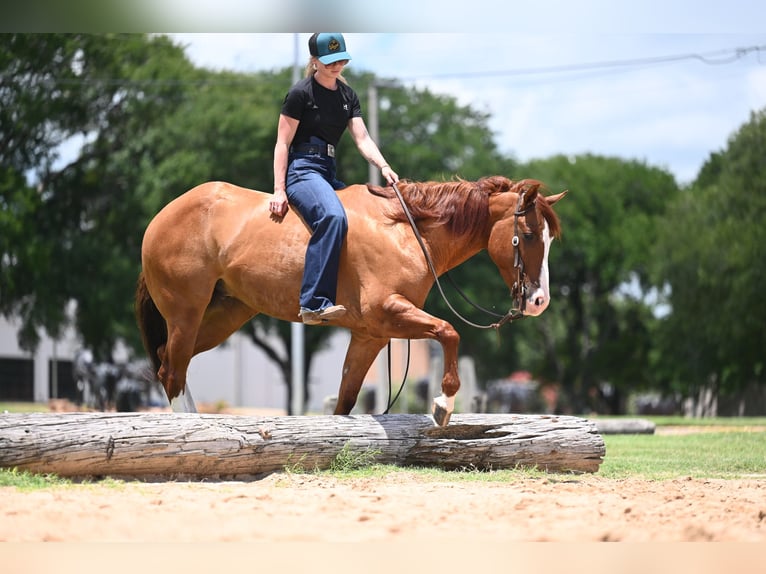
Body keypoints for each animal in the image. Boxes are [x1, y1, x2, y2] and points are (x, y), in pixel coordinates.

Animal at [135, 176, 567, 426]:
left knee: (170, 362)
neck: (405, 230)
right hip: (186, 314)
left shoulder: (371, 335)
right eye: (529, 235)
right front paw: (443, 403)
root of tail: (161, 216)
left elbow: (346, 397)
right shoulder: (389, 312)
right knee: (172, 370)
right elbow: (449, 332)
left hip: (223, 316)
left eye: (550, 239)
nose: (539, 301)